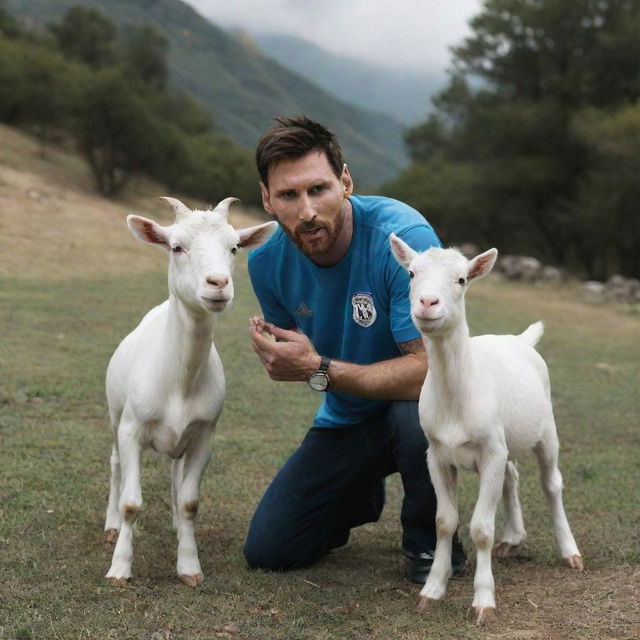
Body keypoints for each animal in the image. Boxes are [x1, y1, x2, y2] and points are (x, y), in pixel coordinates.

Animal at [104, 198, 276, 588]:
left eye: (234, 247)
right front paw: (120, 568)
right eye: (176, 247)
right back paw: (110, 525)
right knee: (116, 464)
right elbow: (131, 504)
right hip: (115, 413)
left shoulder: (205, 434)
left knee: (174, 471)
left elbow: (190, 502)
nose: (218, 283)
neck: (180, 382)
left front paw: (189, 565)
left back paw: (174, 525)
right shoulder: (132, 428)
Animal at [388, 236, 584, 624]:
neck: (456, 401)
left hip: (546, 428)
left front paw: (483, 601)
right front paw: (432, 591)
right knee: (512, 475)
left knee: (551, 483)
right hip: (504, 437)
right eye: (411, 273)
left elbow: (480, 529)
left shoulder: (491, 450)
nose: (427, 303)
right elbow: (444, 521)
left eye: (462, 279)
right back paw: (512, 537)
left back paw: (570, 551)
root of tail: (521, 339)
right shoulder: (436, 453)